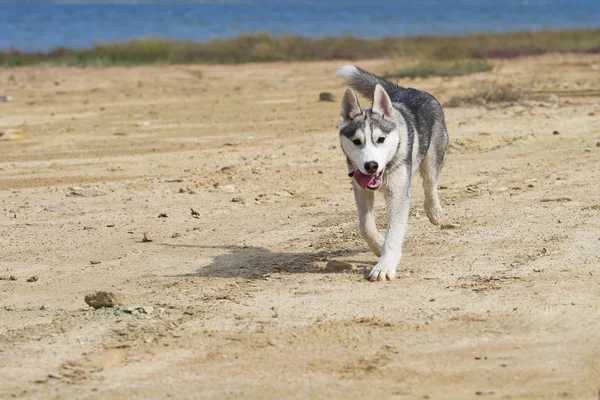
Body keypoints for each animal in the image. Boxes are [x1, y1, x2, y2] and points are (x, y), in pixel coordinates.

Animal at [336, 65, 448, 282]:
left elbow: (394, 233)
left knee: (430, 184)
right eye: (356, 141)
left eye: (381, 139)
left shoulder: (398, 194)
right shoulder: (361, 191)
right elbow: (365, 226)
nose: (371, 165)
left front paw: (385, 265)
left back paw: (434, 211)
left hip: (433, 156)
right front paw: (378, 246)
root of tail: (407, 89)